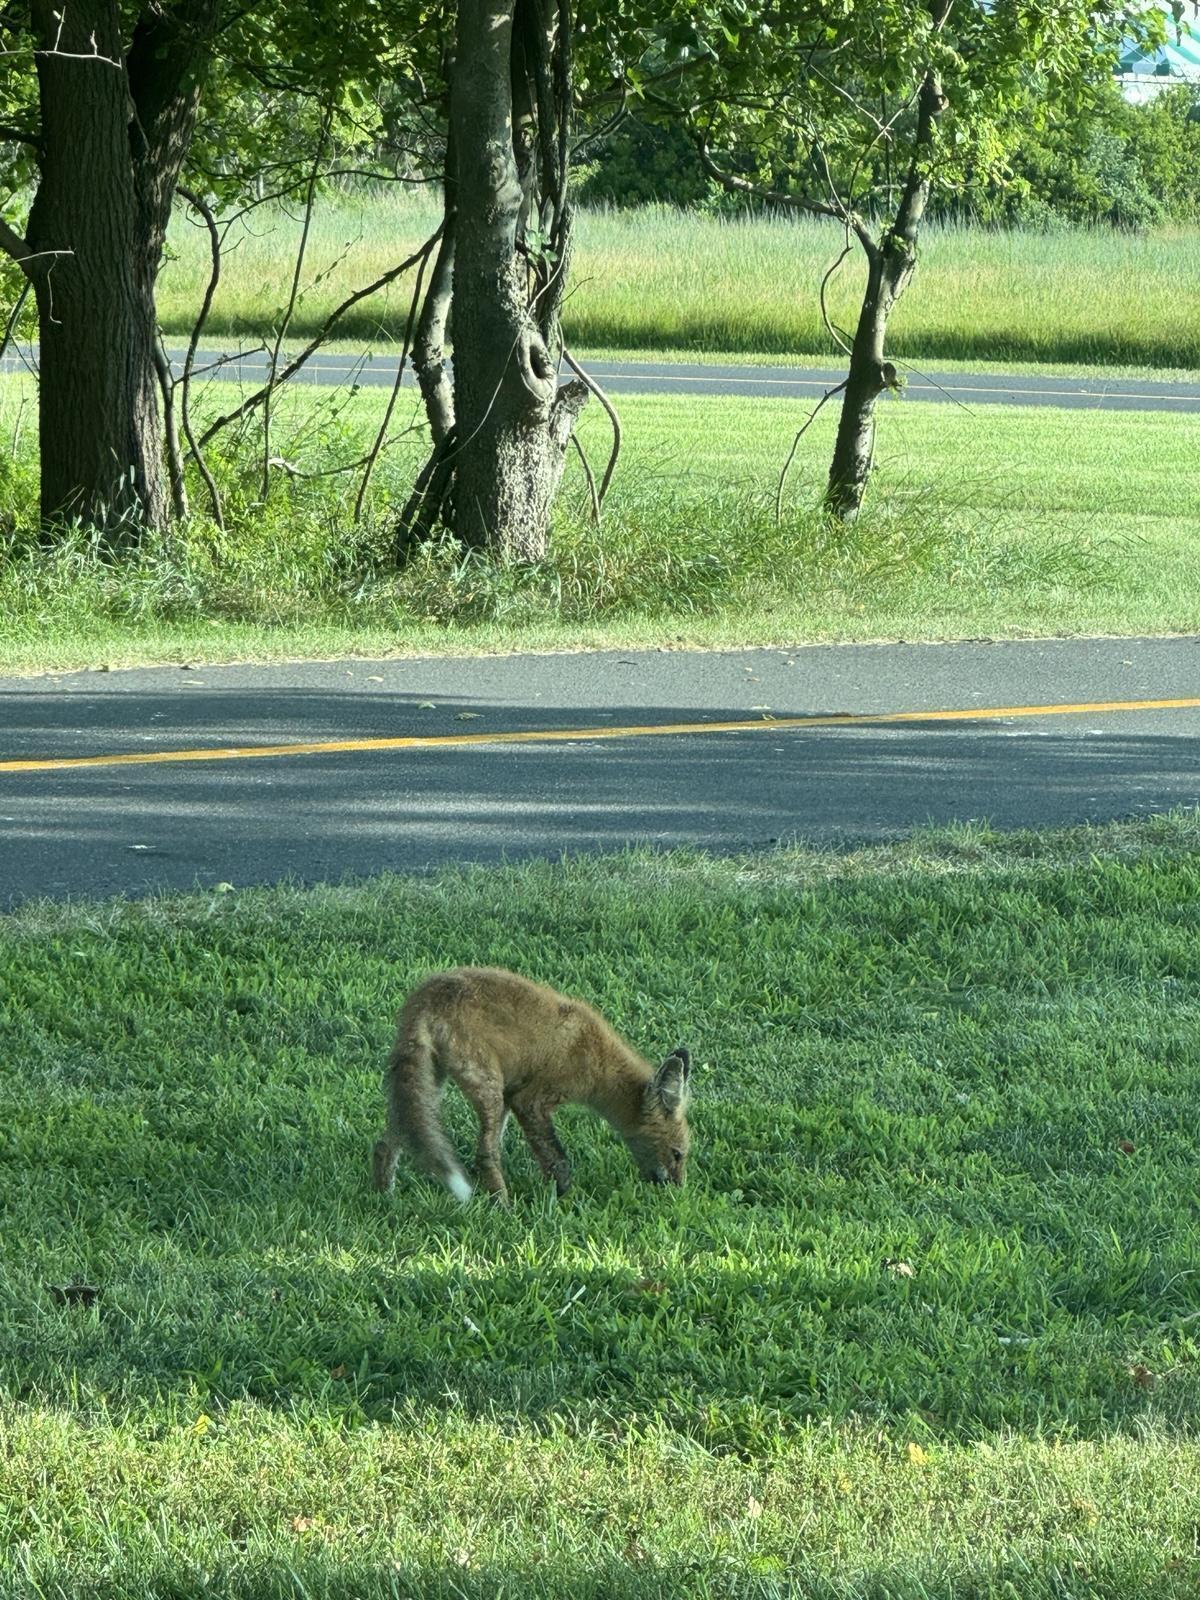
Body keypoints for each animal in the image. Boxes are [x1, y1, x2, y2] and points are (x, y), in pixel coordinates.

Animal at [371, 965, 692, 1205]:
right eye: (677, 1154)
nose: (678, 1192)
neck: (596, 1059)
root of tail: (427, 994)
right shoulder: (530, 1101)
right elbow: (558, 1160)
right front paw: (565, 1200)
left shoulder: (512, 1095)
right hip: (487, 1088)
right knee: (484, 1154)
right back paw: (503, 1207)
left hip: (431, 1087)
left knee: (387, 1143)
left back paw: (385, 1197)